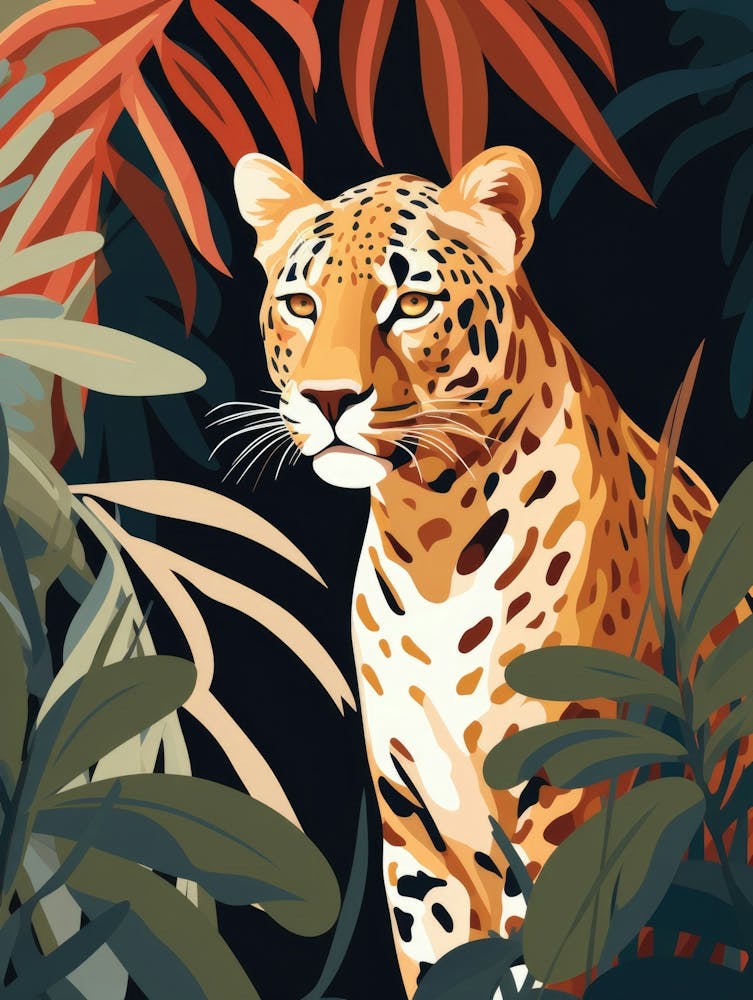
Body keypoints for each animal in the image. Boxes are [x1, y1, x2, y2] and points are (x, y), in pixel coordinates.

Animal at [232, 147, 738, 997]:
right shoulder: (413, 828)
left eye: (410, 302)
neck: (430, 536)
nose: (328, 399)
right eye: (300, 303)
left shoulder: (566, 804)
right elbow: (440, 960)